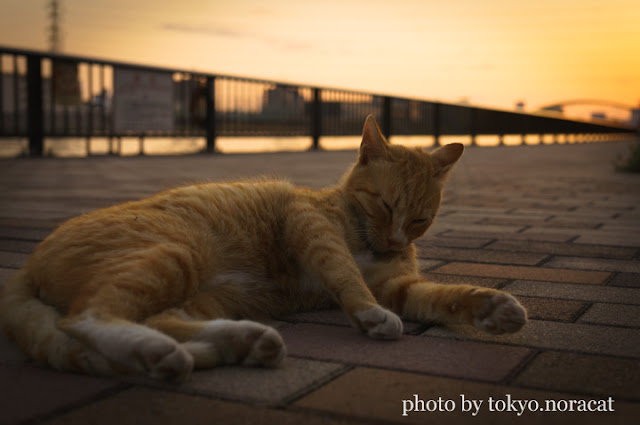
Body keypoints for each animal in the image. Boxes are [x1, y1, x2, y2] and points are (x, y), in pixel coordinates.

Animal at [0, 114, 528, 380]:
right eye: (384, 205)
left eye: (420, 218)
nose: (396, 240)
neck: (365, 234)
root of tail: (25, 266)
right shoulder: (309, 224)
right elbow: (344, 272)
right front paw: (369, 314)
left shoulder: (398, 285)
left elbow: (443, 296)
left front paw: (494, 309)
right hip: (174, 254)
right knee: (87, 318)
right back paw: (162, 352)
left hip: (207, 293)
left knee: (158, 318)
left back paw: (241, 342)